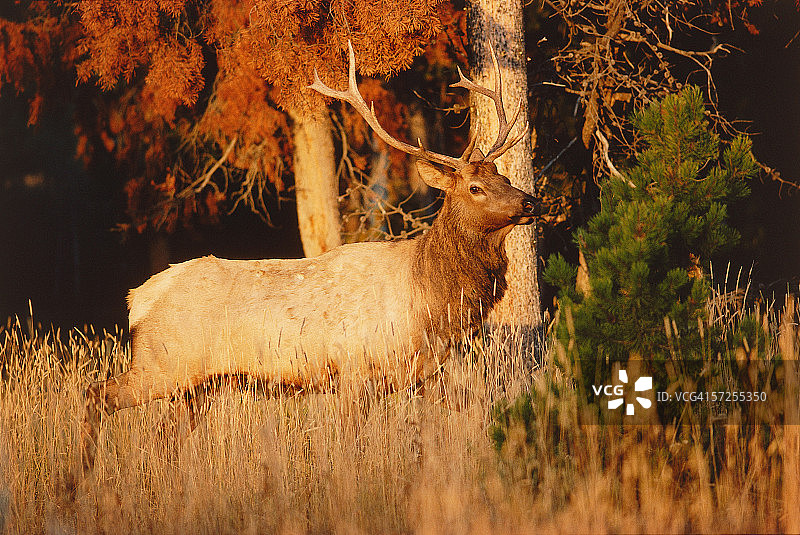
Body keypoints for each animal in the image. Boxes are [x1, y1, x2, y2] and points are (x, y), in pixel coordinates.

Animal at [80, 42, 536, 473]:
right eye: (475, 188)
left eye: (503, 176)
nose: (528, 201)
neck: (428, 303)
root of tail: (138, 299)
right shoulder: (353, 370)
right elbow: (352, 446)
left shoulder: (425, 374)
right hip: (164, 362)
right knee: (97, 393)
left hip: (199, 383)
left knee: (164, 435)